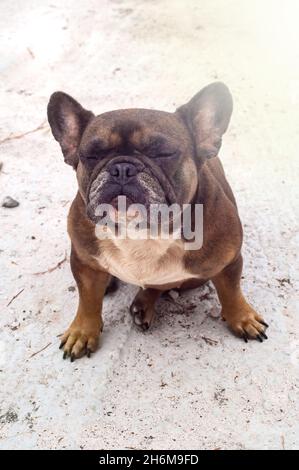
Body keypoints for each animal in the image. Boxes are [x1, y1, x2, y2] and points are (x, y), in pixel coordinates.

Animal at [47, 81, 270, 360]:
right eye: (91, 155)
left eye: (162, 153)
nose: (122, 168)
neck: (141, 232)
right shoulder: (83, 262)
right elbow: (87, 300)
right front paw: (82, 332)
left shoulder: (228, 262)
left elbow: (231, 292)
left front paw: (243, 318)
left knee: (158, 286)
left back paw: (143, 304)